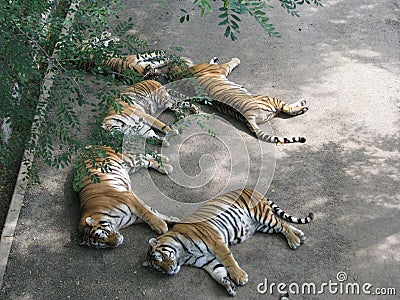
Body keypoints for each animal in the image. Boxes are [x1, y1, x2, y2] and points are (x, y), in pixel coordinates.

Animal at [143, 189, 312, 296]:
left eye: (160, 257)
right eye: (158, 268)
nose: (170, 270)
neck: (183, 255)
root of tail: (252, 189)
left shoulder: (215, 242)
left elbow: (228, 260)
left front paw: (240, 277)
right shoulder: (206, 261)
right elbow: (218, 272)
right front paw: (228, 285)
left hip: (261, 216)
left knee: (282, 224)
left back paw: (294, 241)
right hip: (262, 226)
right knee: (283, 224)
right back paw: (300, 236)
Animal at [169, 57, 310, 144]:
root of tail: (248, 116)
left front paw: (215, 59)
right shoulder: (222, 69)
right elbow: (229, 63)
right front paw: (235, 59)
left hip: (270, 112)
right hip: (268, 98)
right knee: (287, 109)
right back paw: (303, 106)